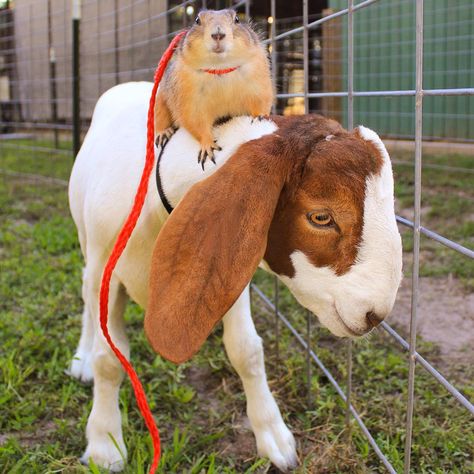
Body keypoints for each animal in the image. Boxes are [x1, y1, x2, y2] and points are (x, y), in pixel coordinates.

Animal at [68, 80, 402, 470]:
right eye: (321, 217)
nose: (375, 315)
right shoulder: (105, 270)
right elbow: (109, 359)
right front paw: (104, 446)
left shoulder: (231, 271)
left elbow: (247, 350)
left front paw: (274, 436)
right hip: (87, 246)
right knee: (86, 296)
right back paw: (81, 360)